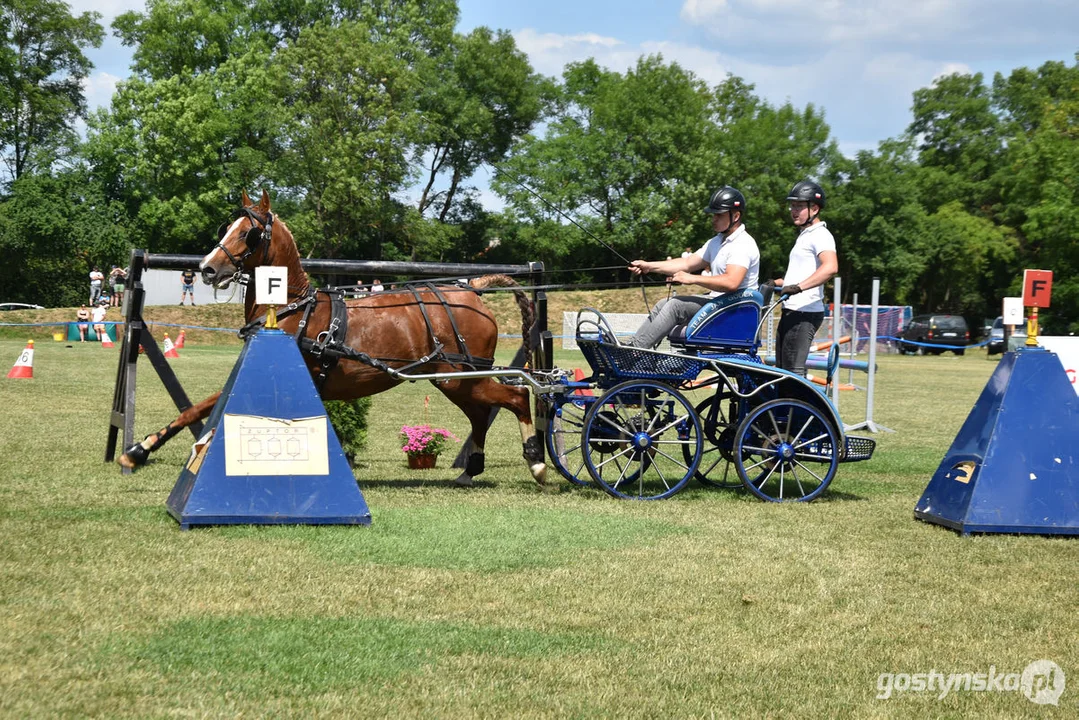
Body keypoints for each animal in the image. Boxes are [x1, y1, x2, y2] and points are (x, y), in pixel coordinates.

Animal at [120, 188, 548, 487]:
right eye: (227, 229)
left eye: (249, 233)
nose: (207, 269)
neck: (291, 309)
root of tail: (473, 290)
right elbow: (195, 410)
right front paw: (138, 450)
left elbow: (211, 410)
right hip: (454, 380)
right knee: (480, 412)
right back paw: (470, 470)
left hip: (459, 376)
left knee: (513, 396)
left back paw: (537, 461)